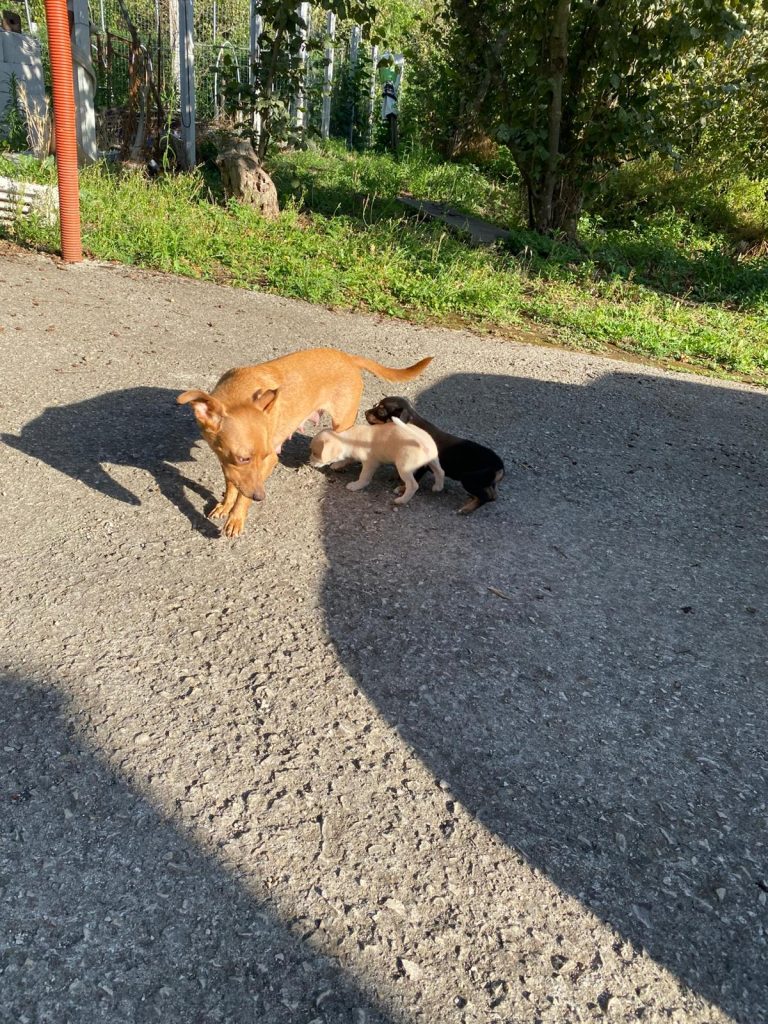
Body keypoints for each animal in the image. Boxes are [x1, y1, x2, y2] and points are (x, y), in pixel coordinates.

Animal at [310, 419, 444, 505]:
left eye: (315, 454)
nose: (309, 462)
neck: (347, 437)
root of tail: (421, 441)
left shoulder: (370, 463)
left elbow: (363, 477)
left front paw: (355, 485)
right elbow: (347, 459)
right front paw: (337, 465)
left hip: (404, 468)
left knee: (413, 485)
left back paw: (401, 500)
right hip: (434, 460)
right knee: (440, 472)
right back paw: (438, 487)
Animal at [365, 396, 504, 514]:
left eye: (381, 411)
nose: (365, 412)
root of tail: (500, 466)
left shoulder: (422, 466)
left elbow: (415, 479)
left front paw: (401, 488)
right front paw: (396, 477)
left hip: (469, 478)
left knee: (488, 497)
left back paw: (466, 509)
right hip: (484, 481)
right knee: (492, 494)